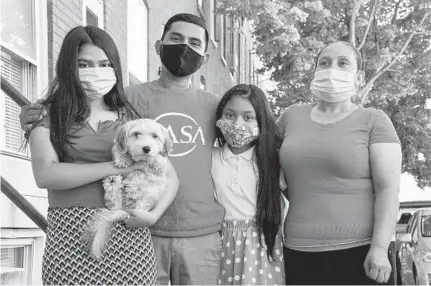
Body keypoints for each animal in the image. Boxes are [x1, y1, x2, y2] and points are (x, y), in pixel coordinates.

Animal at [84, 118, 172, 260]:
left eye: (155, 136)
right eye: (137, 134)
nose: (146, 148)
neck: (140, 160)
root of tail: (125, 210)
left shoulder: (160, 173)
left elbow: (158, 160)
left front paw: (155, 160)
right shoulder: (117, 148)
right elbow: (120, 151)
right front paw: (123, 159)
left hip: (150, 195)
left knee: (140, 201)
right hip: (119, 198)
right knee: (113, 202)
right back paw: (113, 182)